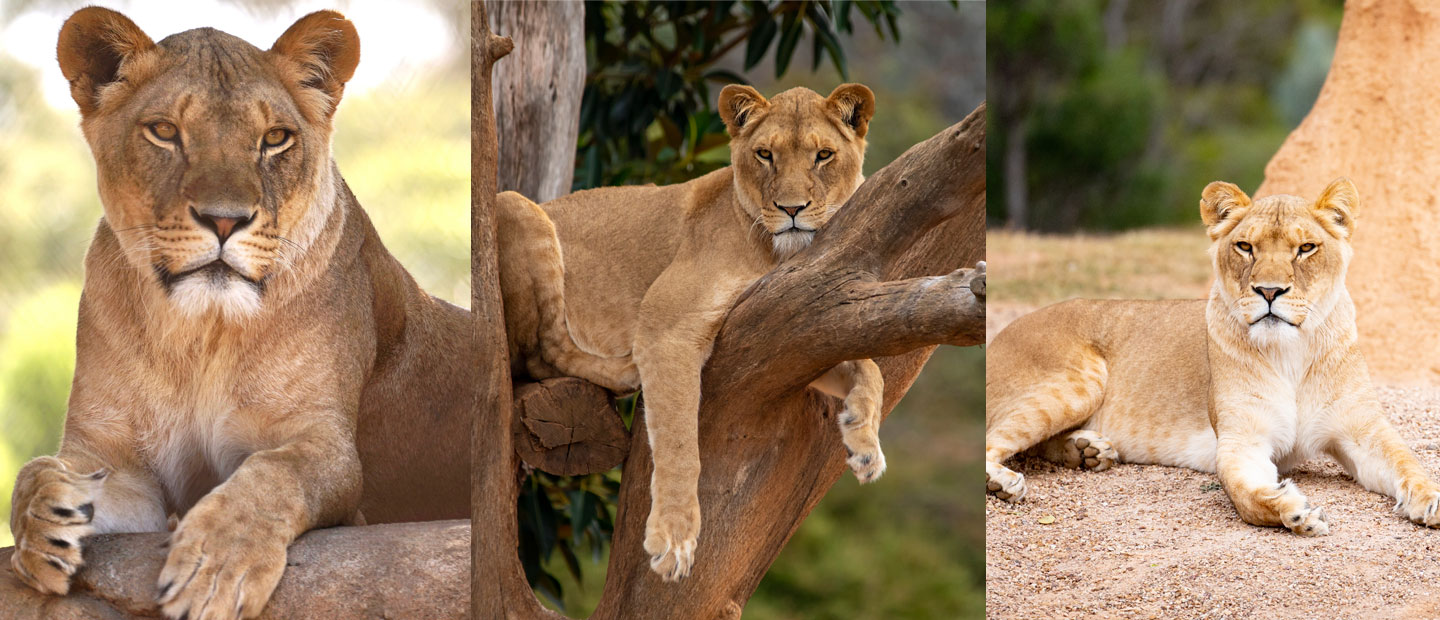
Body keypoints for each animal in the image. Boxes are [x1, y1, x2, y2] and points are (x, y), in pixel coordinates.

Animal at [9, 9, 476, 618]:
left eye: (274, 138)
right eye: (165, 132)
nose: (225, 220)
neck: (202, 332)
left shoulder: (324, 445)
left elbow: (271, 474)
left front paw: (213, 570)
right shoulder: (117, 460)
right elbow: (39, 470)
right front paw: (44, 522)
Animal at [496, 83, 885, 580]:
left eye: (823, 155)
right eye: (765, 155)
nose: (791, 209)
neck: (777, 254)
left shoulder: (795, 331)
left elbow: (871, 366)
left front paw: (864, 442)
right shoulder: (666, 328)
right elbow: (681, 443)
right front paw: (674, 536)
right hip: (511, 204)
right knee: (540, 352)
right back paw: (624, 372)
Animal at [985, 178, 1440, 536]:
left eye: (1306, 248)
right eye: (1245, 246)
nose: (1269, 291)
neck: (1291, 352)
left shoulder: (1362, 429)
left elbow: (1409, 463)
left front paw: (1431, 500)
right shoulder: (1242, 439)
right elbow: (1247, 496)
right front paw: (1293, 511)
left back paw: (1088, 451)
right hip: (1077, 381)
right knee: (995, 440)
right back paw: (1006, 483)